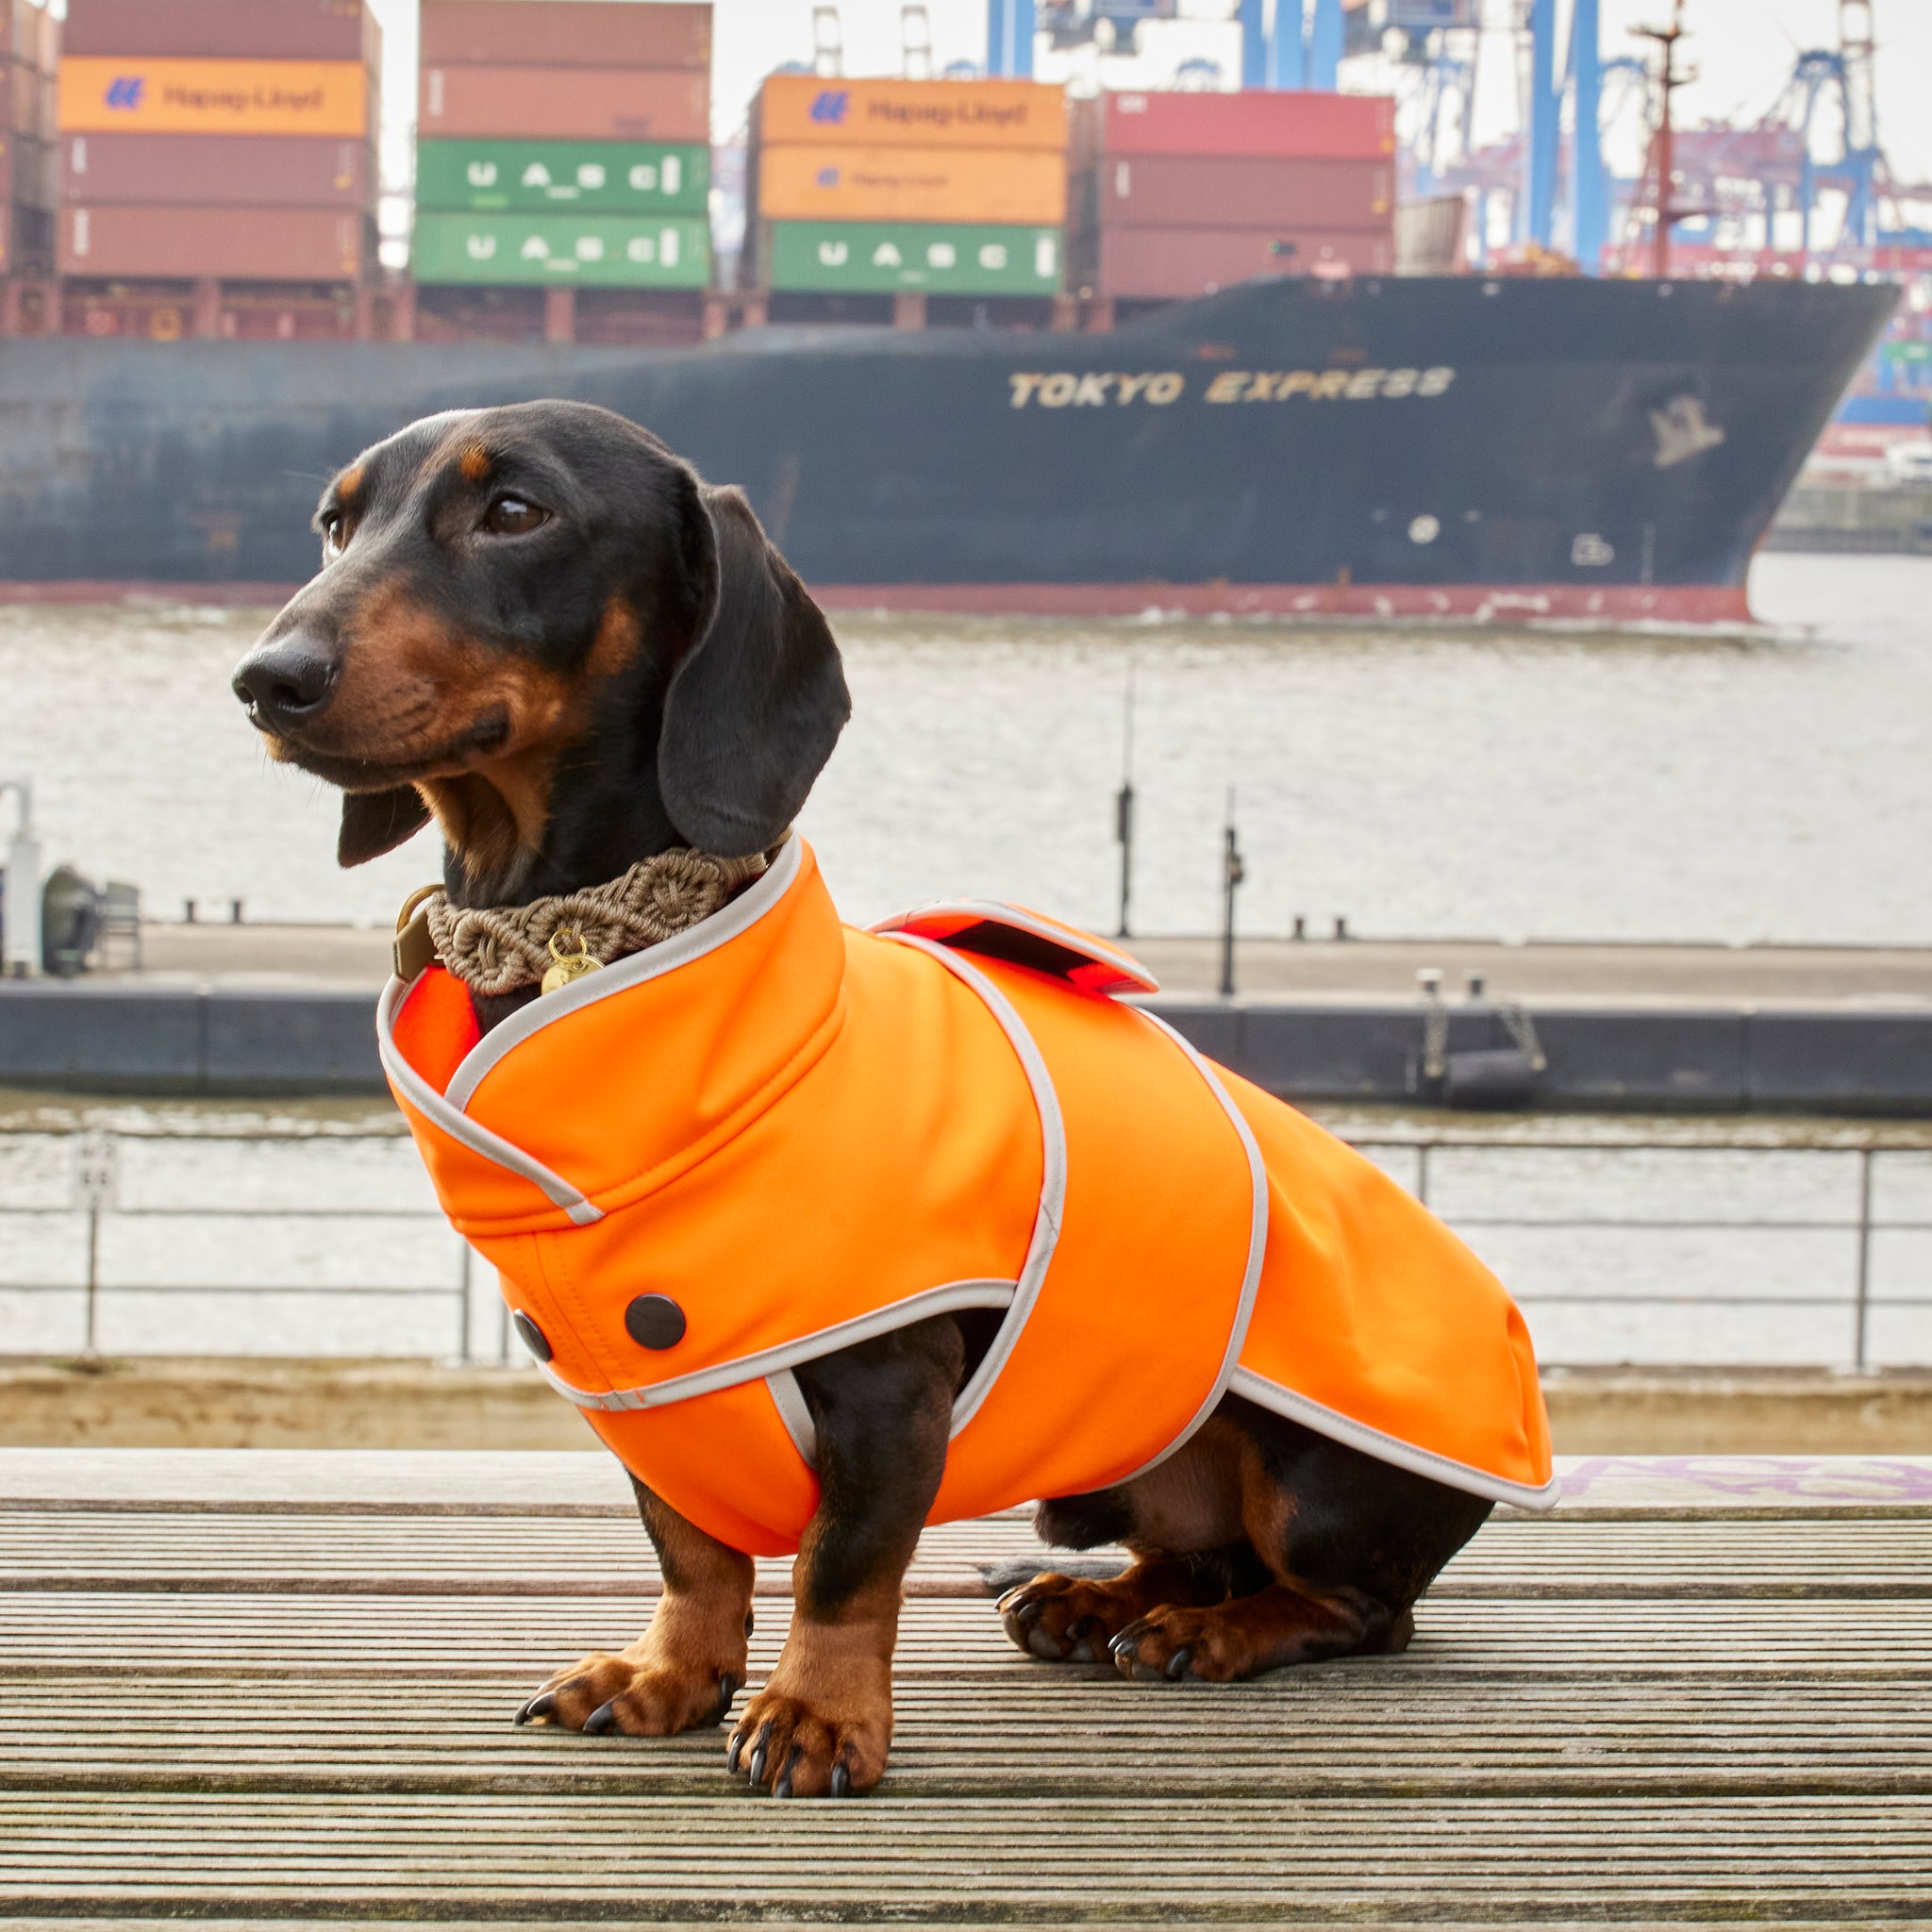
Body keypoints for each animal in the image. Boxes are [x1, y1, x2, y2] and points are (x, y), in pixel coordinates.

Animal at [233, 399, 1499, 1800]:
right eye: (335, 520)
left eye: (515, 511)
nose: (266, 678)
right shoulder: (650, 1398)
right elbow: (691, 1548)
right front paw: (667, 1675)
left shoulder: (889, 1392)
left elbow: (841, 1569)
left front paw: (814, 1715)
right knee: (1196, 1551)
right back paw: (1102, 1603)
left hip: (1311, 1476)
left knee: (1359, 1607)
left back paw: (1210, 1634)